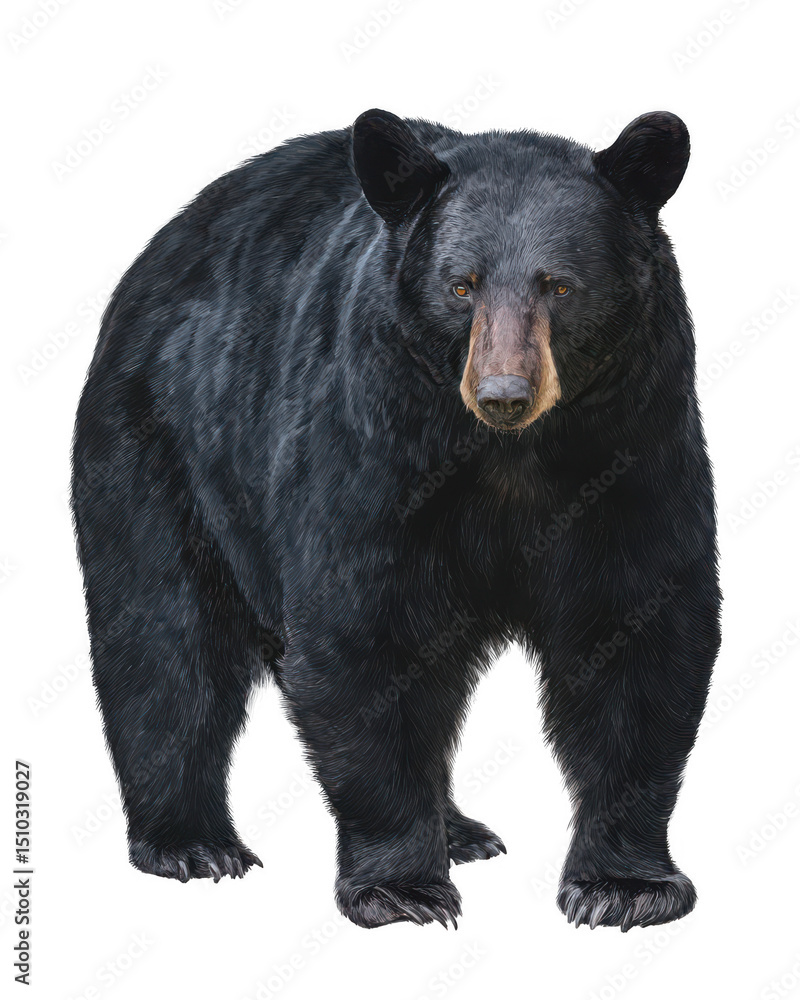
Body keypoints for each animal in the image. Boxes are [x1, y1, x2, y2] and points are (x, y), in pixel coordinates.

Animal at [71, 108, 721, 931]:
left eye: (560, 285)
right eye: (461, 285)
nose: (504, 392)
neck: (509, 455)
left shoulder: (635, 444)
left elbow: (639, 635)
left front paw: (625, 887)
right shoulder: (376, 447)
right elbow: (366, 639)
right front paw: (401, 888)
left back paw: (462, 830)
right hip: (162, 443)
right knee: (166, 638)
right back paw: (192, 844)